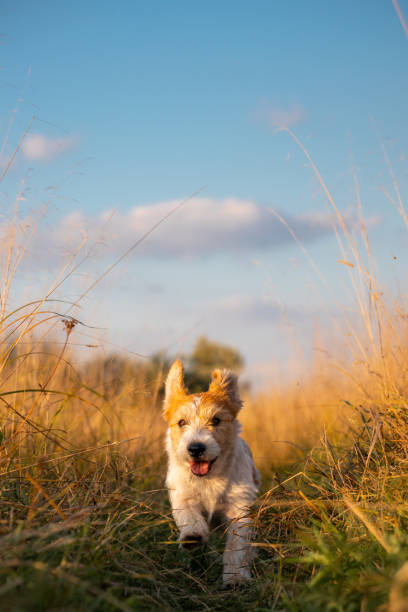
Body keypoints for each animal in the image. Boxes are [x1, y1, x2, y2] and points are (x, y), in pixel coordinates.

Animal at [162, 360, 258, 584]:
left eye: (215, 420)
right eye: (181, 422)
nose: (196, 448)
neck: (209, 478)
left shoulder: (238, 509)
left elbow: (236, 546)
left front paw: (235, 576)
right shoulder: (183, 495)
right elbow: (189, 515)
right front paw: (192, 536)